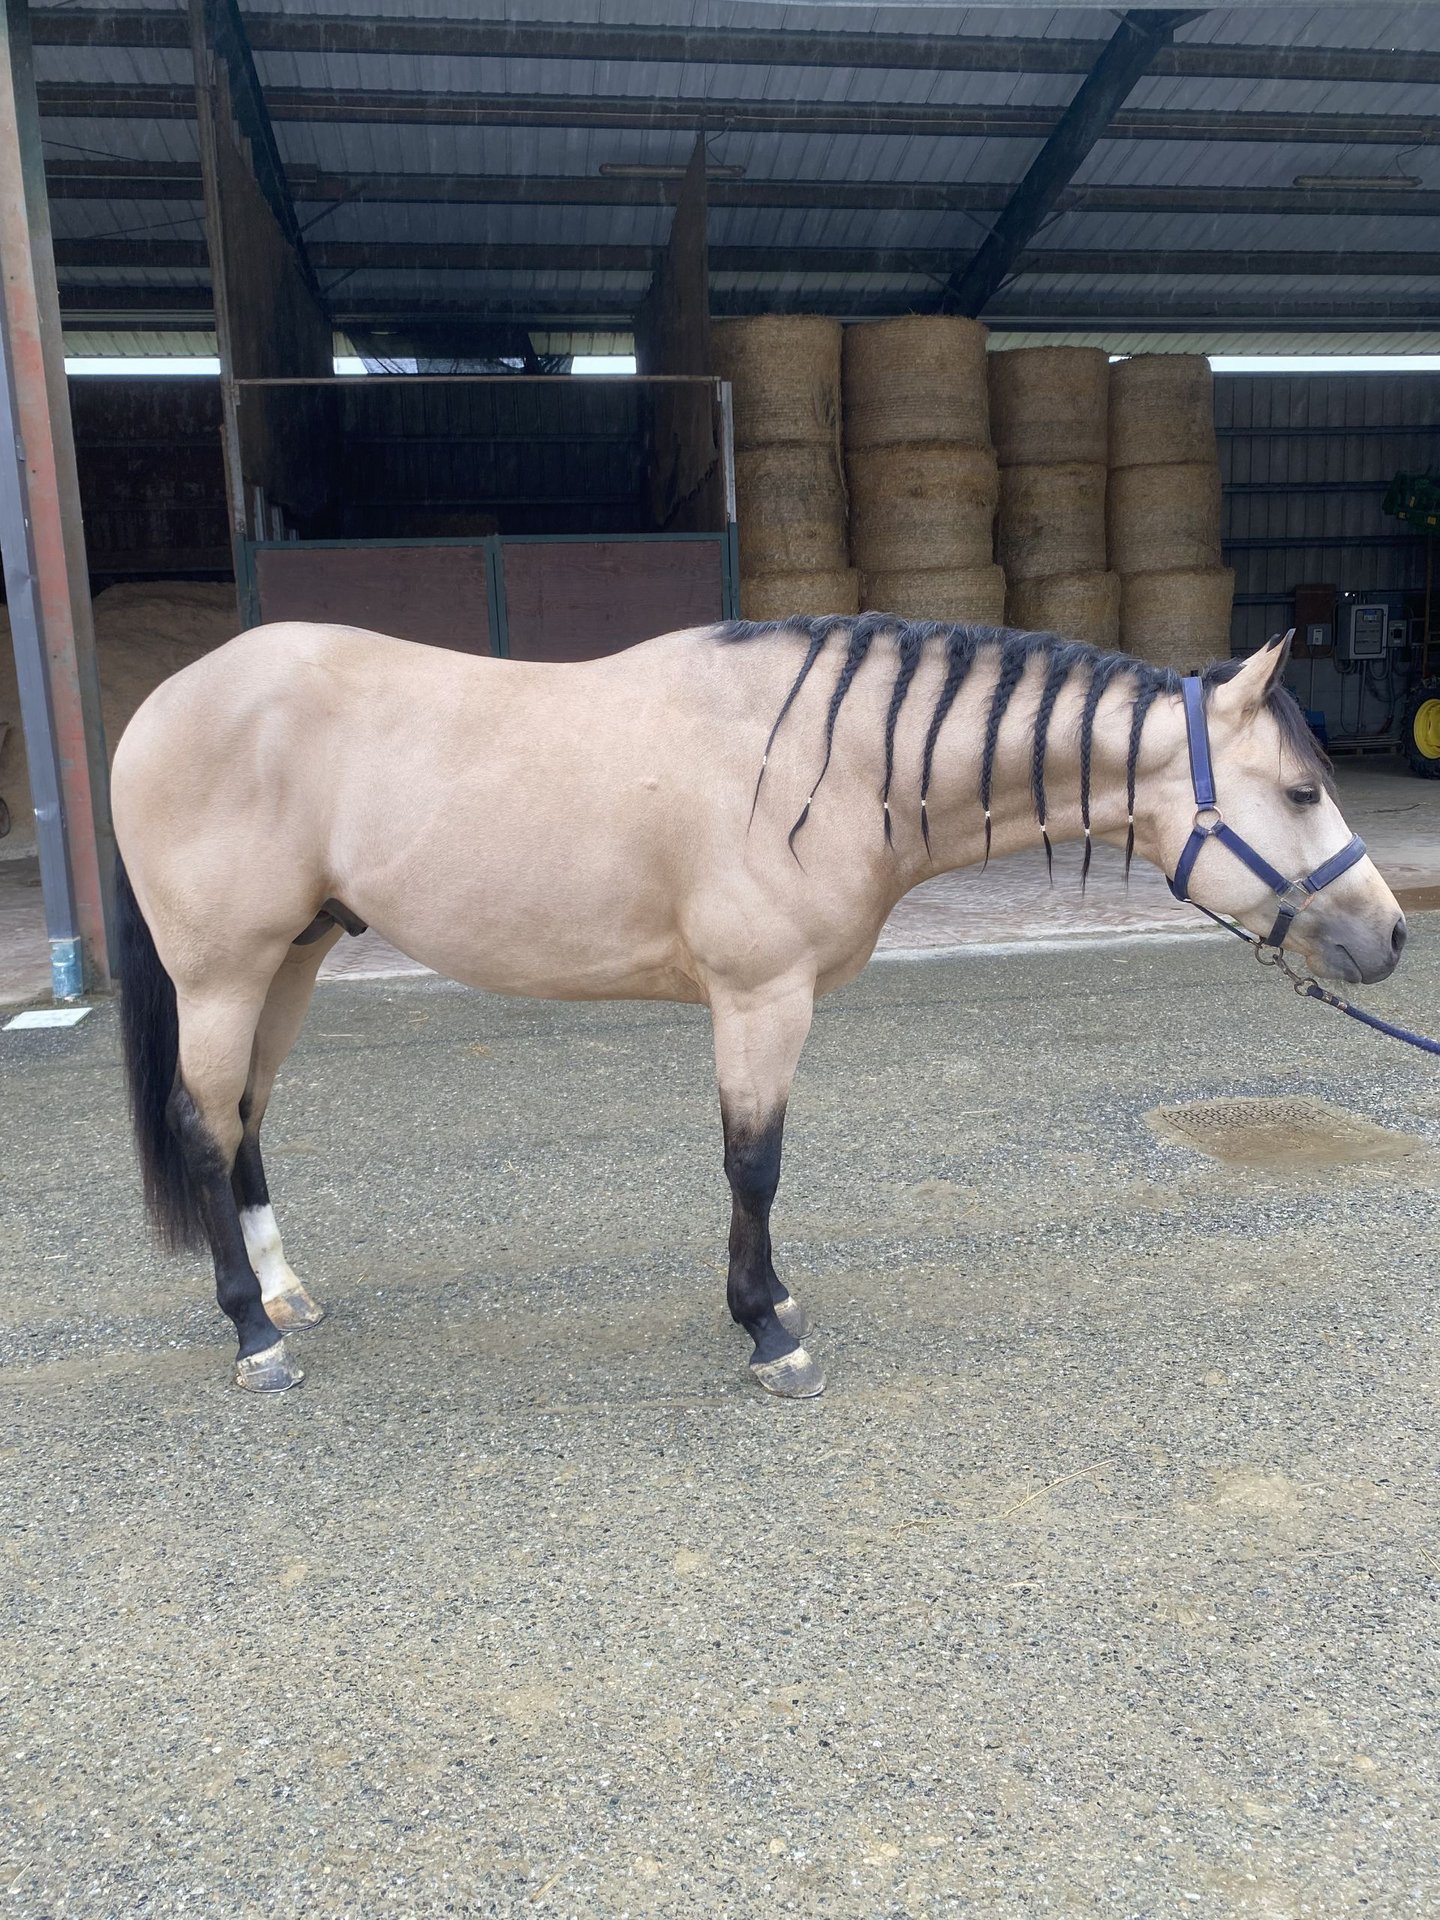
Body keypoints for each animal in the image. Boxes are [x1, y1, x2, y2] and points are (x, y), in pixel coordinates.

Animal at [110, 616, 1405, 1399]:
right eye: (1302, 790)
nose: (1391, 935)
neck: (828, 764)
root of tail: (164, 701)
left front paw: (770, 1297)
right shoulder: (758, 1000)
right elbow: (754, 1162)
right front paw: (768, 1332)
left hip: (293, 959)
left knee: (246, 1119)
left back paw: (284, 1292)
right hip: (224, 973)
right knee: (203, 1125)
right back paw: (253, 1334)